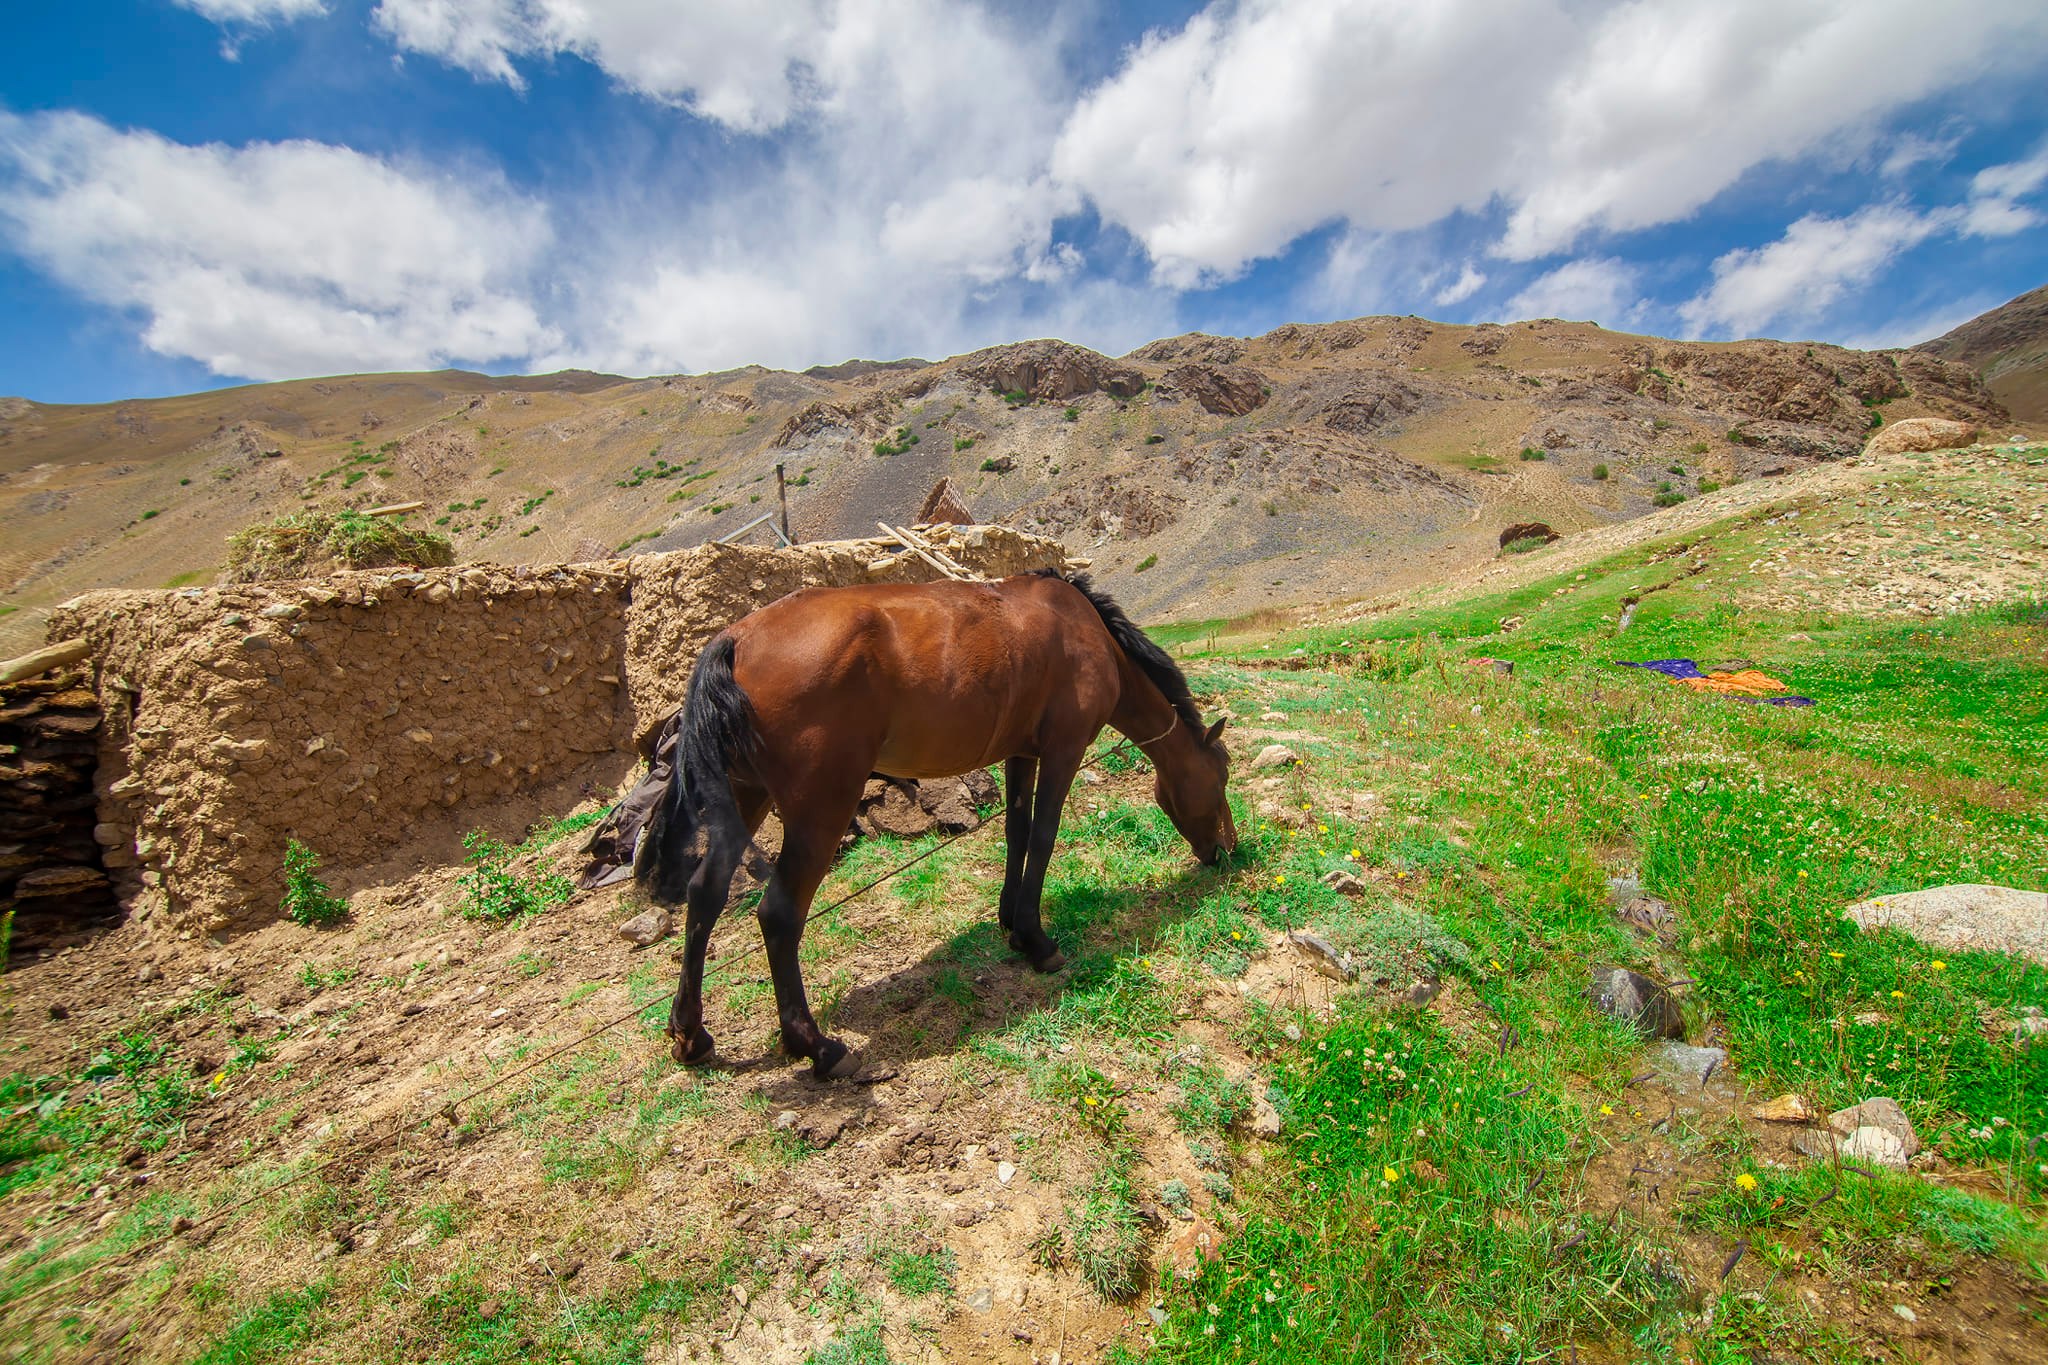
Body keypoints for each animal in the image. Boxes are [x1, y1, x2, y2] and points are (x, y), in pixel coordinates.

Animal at [634, 564, 1228, 1080]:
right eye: (1221, 774)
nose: (1227, 848)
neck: (1083, 629)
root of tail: (737, 637)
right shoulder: (1064, 750)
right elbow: (1042, 836)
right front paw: (1038, 941)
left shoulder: (1022, 753)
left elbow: (1016, 834)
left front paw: (1011, 923)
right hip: (820, 809)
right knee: (779, 914)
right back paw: (817, 1047)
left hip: (748, 797)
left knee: (706, 894)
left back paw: (691, 1034)